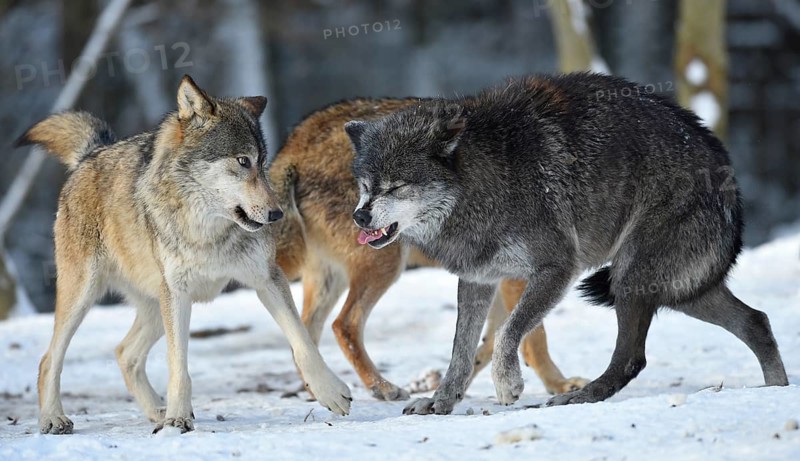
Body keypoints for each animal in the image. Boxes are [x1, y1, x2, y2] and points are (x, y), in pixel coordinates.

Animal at [17, 75, 351, 434]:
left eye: (262, 163)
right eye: (242, 161)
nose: (276, 215)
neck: (208, 231)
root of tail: (91, 154)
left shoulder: (266, 278)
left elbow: (302, 342)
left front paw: (330, 391)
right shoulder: (178, 294)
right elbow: (178, 364)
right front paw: (178, 417)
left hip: (153, 306)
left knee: (124, 353)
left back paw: (156, 411)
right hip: (85, 295)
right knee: (49, 359)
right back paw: (54, 418)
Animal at [269, 98, 587, 401]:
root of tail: (297, 140)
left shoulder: (493, 275)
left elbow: (489, 340)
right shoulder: (516, 275)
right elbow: (534, 337)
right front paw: (558, 384)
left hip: (329, 278)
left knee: (305, 332)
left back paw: (324, 395)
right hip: (384, 264)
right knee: (343, 325)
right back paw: (382, 388)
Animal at [345, 72, 789, 415]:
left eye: (395, 187)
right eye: (365, 185)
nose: (360, 217)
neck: (485, 181)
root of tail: (725, 166)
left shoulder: (557, 268)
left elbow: (508, 332)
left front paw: (508, 386)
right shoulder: (477, 279)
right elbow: (460, 350)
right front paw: (441, 402)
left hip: (631, 278)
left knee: (631, 358)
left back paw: (579, 397)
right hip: (680, 290)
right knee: (757, 321)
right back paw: (777, 390)